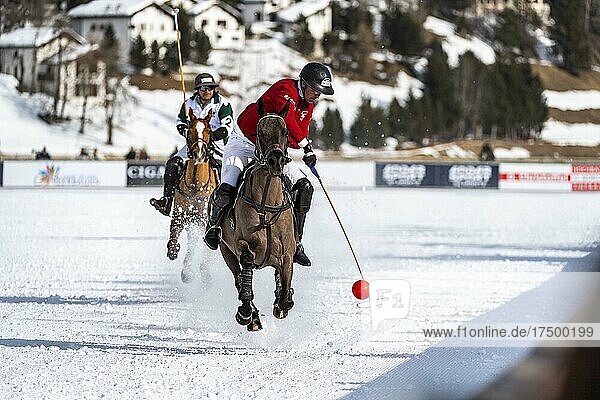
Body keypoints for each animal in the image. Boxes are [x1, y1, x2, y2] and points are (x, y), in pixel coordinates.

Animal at [168, 108, 219, 282]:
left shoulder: (206, 221)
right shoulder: (180, 215)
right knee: (193, 241)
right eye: (189, 130)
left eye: (209, 131)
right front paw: (174, 250)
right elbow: (174, 238)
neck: (195, 187)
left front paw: (205, 271)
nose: (199, 153)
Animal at [219, 100, 296, 332]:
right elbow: (246, 275)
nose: (275, 161)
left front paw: (282, 301)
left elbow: (285, 289)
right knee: (238, 279)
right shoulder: (242, 245)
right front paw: (246, 313)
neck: (266, 205)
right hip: (225, 250)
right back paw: (252, 316)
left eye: (285, 132)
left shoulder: (288, 252)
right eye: (259, 132)